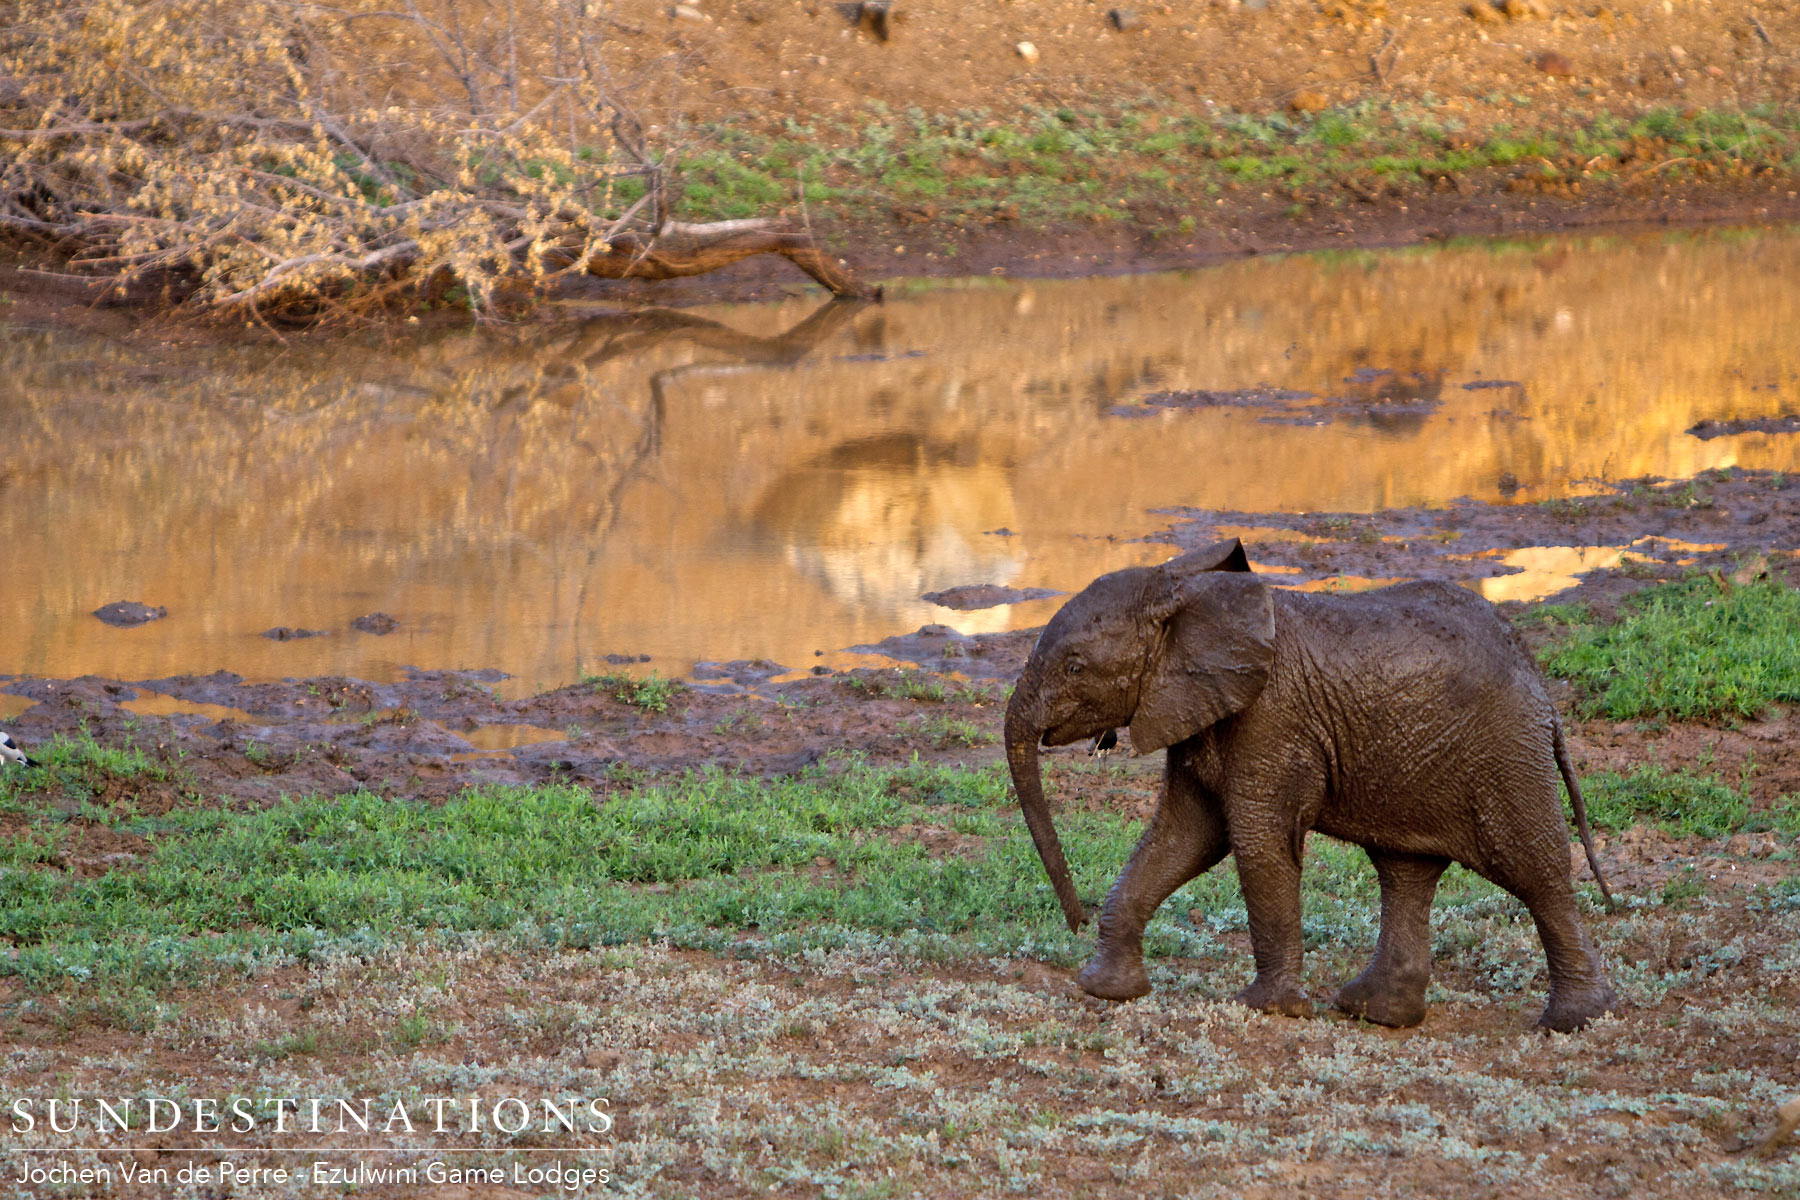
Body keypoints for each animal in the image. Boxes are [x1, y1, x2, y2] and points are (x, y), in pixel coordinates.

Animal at [1003, 538, 1618, 1032]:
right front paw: (1104, 990)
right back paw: (1376, 1013)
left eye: (1076, 667)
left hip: (1505, 754)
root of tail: (1540, 684)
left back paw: (1573, 1022)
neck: (1190, 592)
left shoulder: (1270, 720)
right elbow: (1183, 837)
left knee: (1533, 870)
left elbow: (1255, 842)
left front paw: (1267, 1009)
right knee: (1406, 872)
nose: (1076, 922)